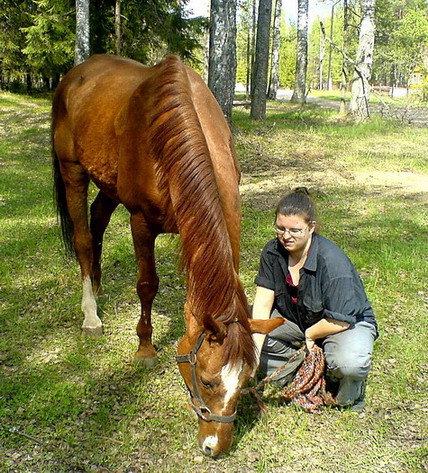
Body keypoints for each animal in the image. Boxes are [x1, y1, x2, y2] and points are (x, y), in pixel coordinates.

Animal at [51, 53, 282, 456]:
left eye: (244, 383)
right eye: (207, 380)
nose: (215, 446)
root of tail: (75, 74)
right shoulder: (141, 223)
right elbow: (147, 285)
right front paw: (145, 348)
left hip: (108, 185)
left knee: (97, 223)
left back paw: (98, 285)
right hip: (72, 171)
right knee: (82, 238)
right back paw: (91, 314)